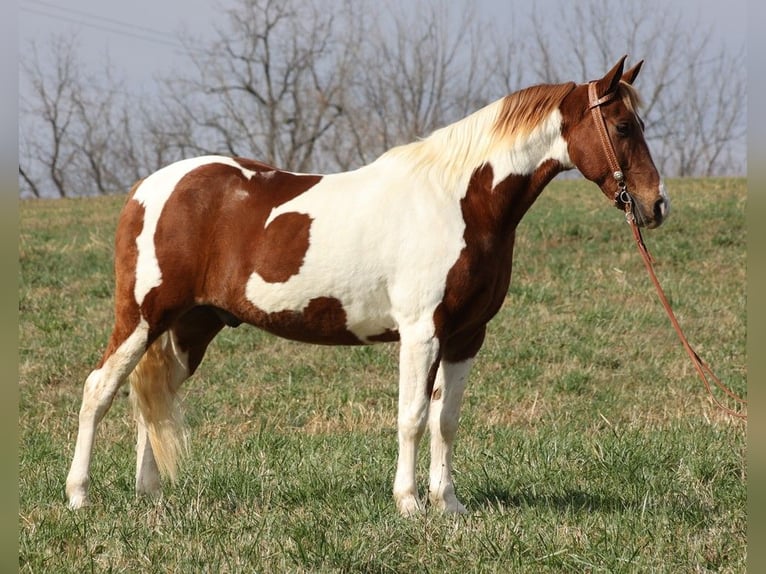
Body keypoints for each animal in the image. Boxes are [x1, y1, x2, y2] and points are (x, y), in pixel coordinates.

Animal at [66, 57, 668, 516]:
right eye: (622, 127)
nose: (656, 204)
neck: (461, 201)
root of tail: (148, 188)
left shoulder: (466, 336)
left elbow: (447, 420)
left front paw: (448, 505)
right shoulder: (421, 333)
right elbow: (412, 418)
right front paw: (409, 504)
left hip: (189, 327)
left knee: (153, 398)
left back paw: (150, 496)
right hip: (142, 317)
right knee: (100, 388)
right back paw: (79, 495)